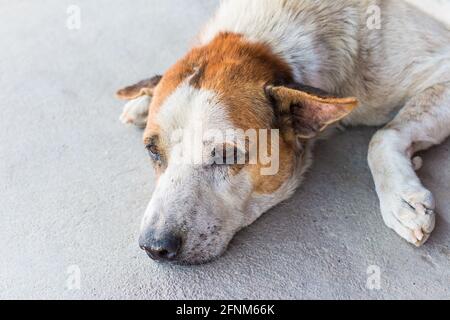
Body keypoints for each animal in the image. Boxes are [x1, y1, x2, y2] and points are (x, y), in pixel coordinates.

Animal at [116, 0, 450, 264]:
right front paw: (144, 98)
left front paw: (401, 199)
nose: (154, 248)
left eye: (225, 154)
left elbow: (382, 136)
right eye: (152, 150)